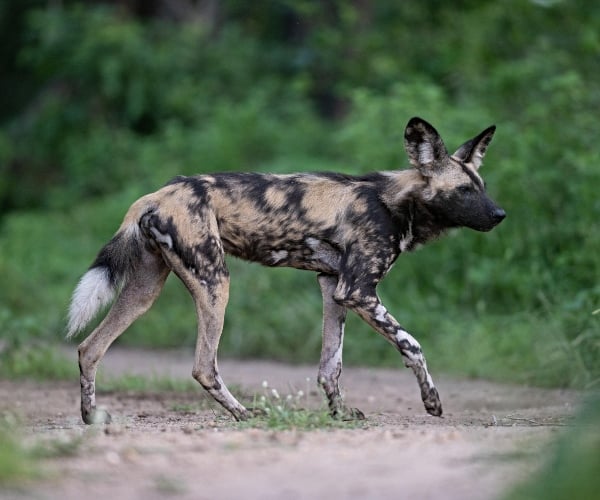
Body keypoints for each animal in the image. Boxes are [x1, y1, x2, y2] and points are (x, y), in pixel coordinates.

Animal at [67, 117, 506, 422]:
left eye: (482, 186)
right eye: (464, 191)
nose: (500, 215)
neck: (396, 202)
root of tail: (156, 194)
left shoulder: (334, 287)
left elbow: (331, 366)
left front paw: (340, 414)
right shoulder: (359, 291)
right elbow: (411, 344)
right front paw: (432, 401)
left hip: (145, 290)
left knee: (90, 348)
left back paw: (91, 418)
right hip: (215, 282)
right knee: (203, 366)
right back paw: (243, 414)